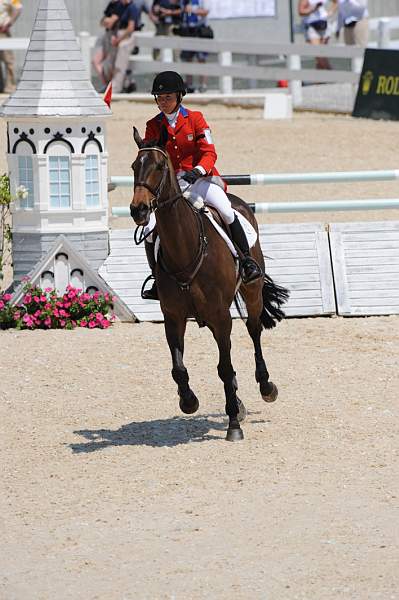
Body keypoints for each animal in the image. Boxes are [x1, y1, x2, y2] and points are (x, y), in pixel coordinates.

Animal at [131, 126, 290, 442]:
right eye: (133, 167)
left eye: (159, 166)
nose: (138, 210)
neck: (185, 249)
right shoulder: (174, 318)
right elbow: (178, 369)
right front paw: (189, 401)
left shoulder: (220, 317)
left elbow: (225, 368)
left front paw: (234, 425)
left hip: (251, 292)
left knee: (254, 331)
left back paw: (265, 386)